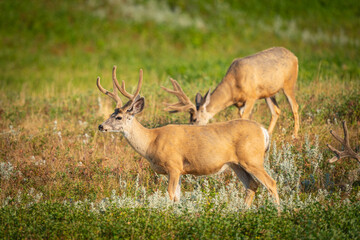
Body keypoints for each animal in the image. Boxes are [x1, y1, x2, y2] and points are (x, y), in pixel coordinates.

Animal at [97, 65, 280, 208]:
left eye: (118, 117)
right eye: (112, 113)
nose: (101, 126)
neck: (151, 142)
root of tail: (263, 131)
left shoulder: (174, 166)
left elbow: (170, 195)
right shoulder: (178, 171)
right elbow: (177, 198)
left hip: (252, 159)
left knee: (271, 183)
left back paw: (277, 213)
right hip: (237, 164)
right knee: (252, 185)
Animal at [162, 46, 300, 137]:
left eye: (195, 119)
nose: (190, 133)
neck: (233, 86)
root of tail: (294, 56)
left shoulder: (251, 97)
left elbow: (244, 118)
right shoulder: (239, 104)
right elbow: (242, 118)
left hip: (289, 84)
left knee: (295, 106)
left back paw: (294, 135)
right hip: (269, 93)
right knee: (276, 111)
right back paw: (269, 135)